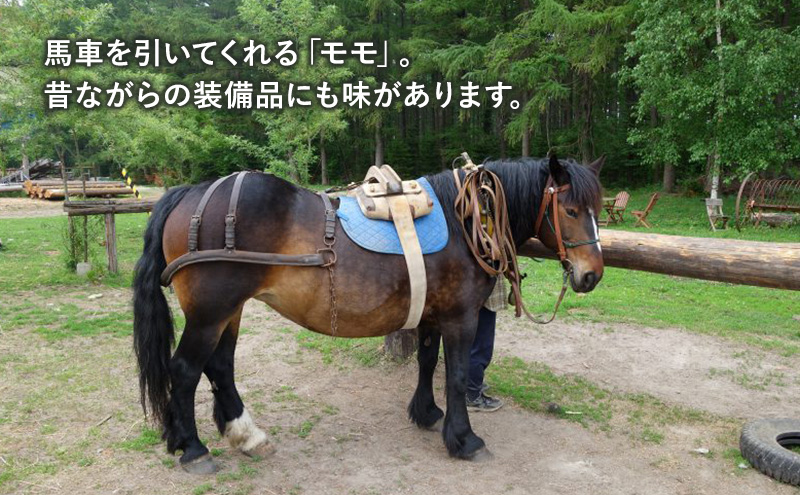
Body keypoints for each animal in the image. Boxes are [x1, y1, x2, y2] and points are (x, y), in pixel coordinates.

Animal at [132, 154, 605, 474]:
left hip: (229, 312)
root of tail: (191, 192)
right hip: (211, 313)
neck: (465, 222)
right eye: (570, 210)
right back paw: (193, 449)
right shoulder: (460, 317)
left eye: (596, 211)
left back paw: (246, 435)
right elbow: (454, 375)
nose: (592, 275)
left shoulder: (432, 314)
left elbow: (426, 362)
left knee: (220, 367)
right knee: (186, 369)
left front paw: (426, 414)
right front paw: (463, 438)